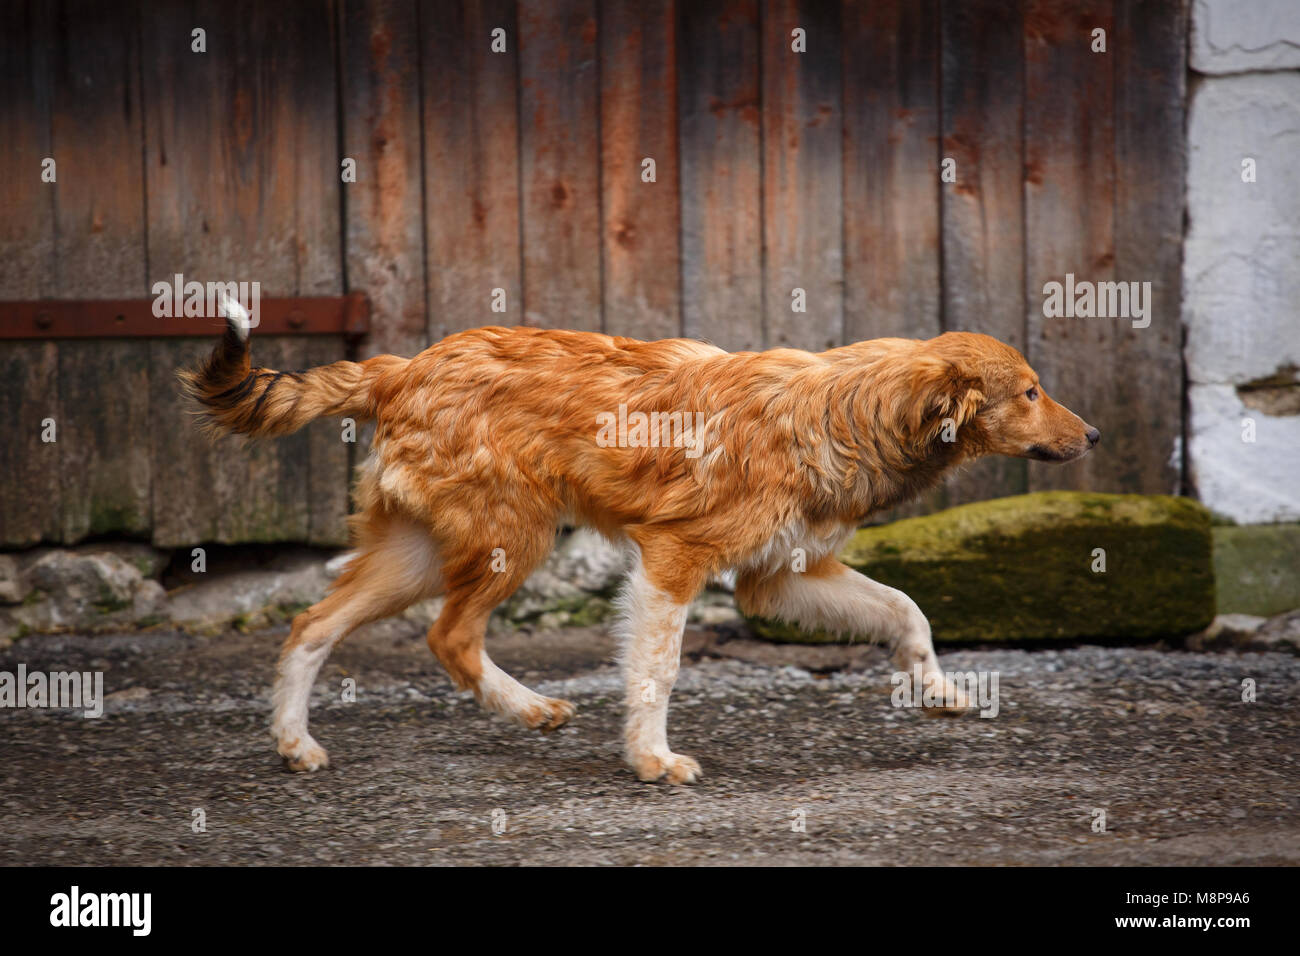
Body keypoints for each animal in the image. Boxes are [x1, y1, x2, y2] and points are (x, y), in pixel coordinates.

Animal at [183, 300, 1097, 785]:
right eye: (1030, 392)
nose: (1091, 435)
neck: (842, 410)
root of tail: (402, 366)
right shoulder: (673, 560)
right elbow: (656, 671)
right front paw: (651, 760)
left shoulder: (780, 574)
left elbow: (907, 609)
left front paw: (936, 689)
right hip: (511, 539)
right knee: (449, 636)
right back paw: (527, 708)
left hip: (415, 555)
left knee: (312, 627)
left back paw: (296, 742)